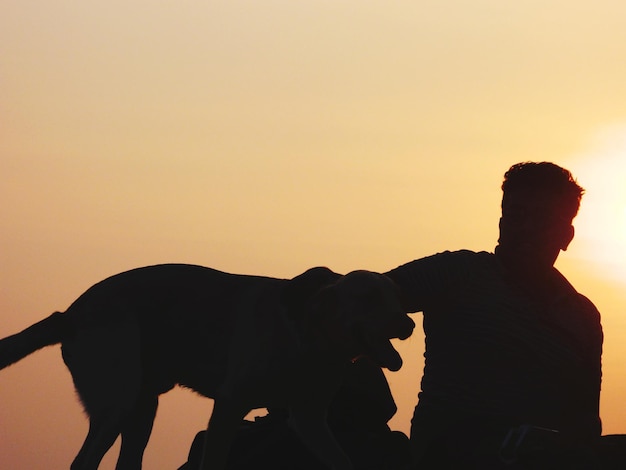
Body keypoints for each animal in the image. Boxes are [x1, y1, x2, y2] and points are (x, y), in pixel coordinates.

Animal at [0, 264, 412, 470]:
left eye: (397, 297)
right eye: (368, 297)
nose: (408, 324)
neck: (308, 335)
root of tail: (69, 313)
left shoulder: (309, 420)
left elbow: (344, 461)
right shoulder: (230, 405)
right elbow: (213, 461)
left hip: (141, 409)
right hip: (117, 405)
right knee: (82, 463)